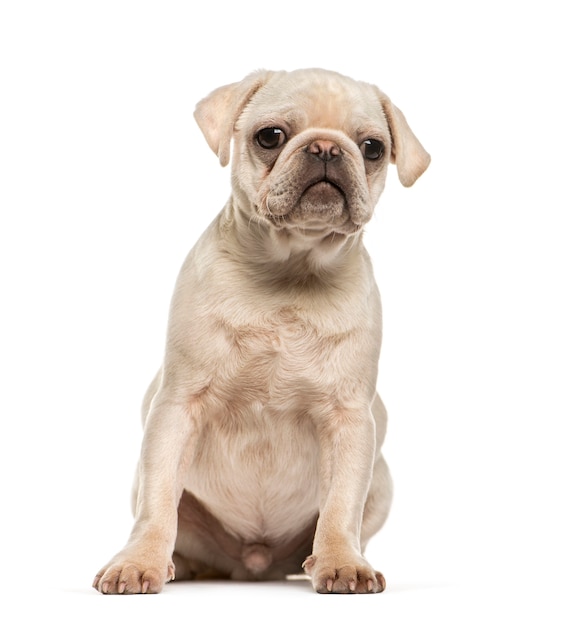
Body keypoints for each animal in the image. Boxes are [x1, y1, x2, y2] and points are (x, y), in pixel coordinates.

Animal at [93, 68, 428, 596]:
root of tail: (255, 564)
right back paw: (183, 565)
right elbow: (158, 502)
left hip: (382, 484)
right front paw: (139, 562)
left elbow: (340, 504)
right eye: (270, 137)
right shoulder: (177, 408)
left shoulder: (349, 421)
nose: (327, 148)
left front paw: (341, 561)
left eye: (373, 148)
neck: (290, 273)